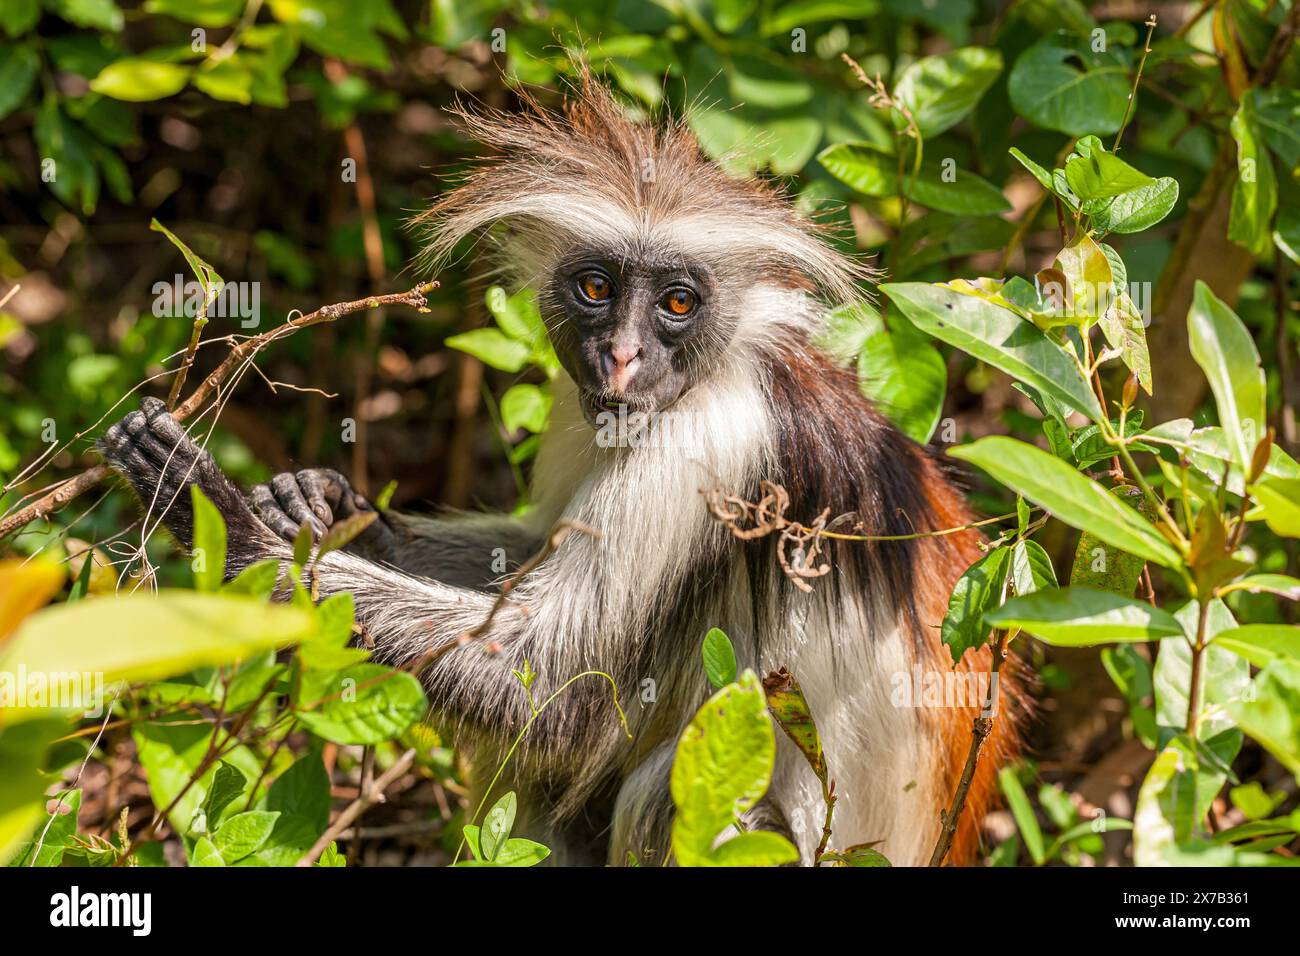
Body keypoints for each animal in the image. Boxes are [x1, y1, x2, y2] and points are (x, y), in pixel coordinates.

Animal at [101, 76, 1019, 868]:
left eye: (677, 303)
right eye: (596, 288)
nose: (622, 355)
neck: (728, 367)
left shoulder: (707, 443)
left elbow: (548, 688)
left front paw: (230, 529)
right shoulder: (587, 406)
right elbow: (526, 563)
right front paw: (324, 507)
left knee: (664, 786)